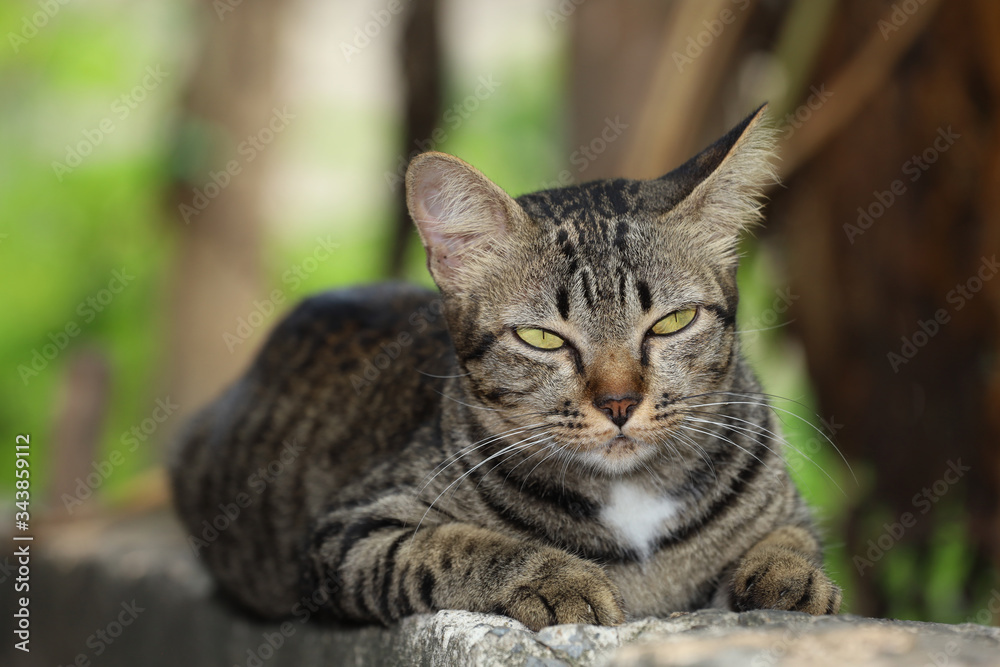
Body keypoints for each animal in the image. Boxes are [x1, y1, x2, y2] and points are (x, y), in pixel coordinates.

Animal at [172, 105, 844, 632]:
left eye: (671, 323)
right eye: (540, 337)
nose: (620, 403)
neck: (630, 495)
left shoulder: (791, 509)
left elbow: (792, 539)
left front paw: (787, 574)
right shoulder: (347, 534)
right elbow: (456, 546)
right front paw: (557, 578)